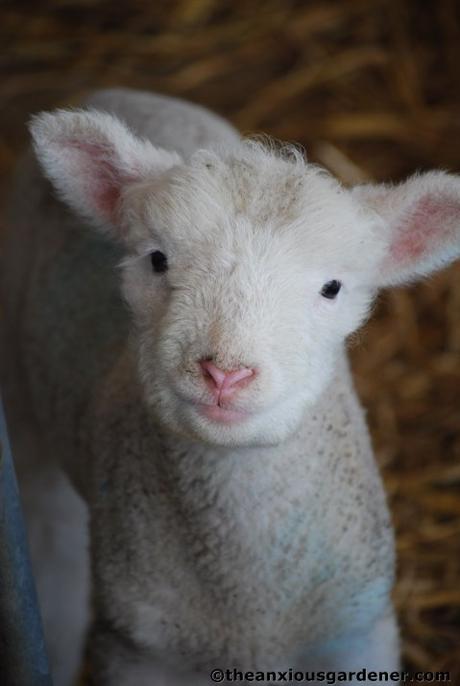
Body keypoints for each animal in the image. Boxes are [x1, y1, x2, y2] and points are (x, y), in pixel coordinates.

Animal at [1, 87, 460, 686]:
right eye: (157, 259)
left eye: (333, 287)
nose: (225, 373)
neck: (248, 600)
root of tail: (117, 91)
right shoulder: (137, 650)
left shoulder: (357, 633)